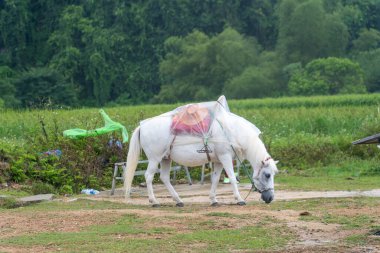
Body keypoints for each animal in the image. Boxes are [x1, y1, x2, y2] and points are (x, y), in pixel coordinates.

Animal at [124, 96, 280, 207]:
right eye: (267, 175)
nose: (270, 198)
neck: (233, 131)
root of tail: (142, 126)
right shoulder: (225, 157)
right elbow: (232, 177)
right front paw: (239, 199)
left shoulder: (218, 160)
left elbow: (215, 179)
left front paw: (213, 200)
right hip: (154, 159)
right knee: (149, 176)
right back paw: (154, 201)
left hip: (165, 158)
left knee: (164, 178)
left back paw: (178, 200)